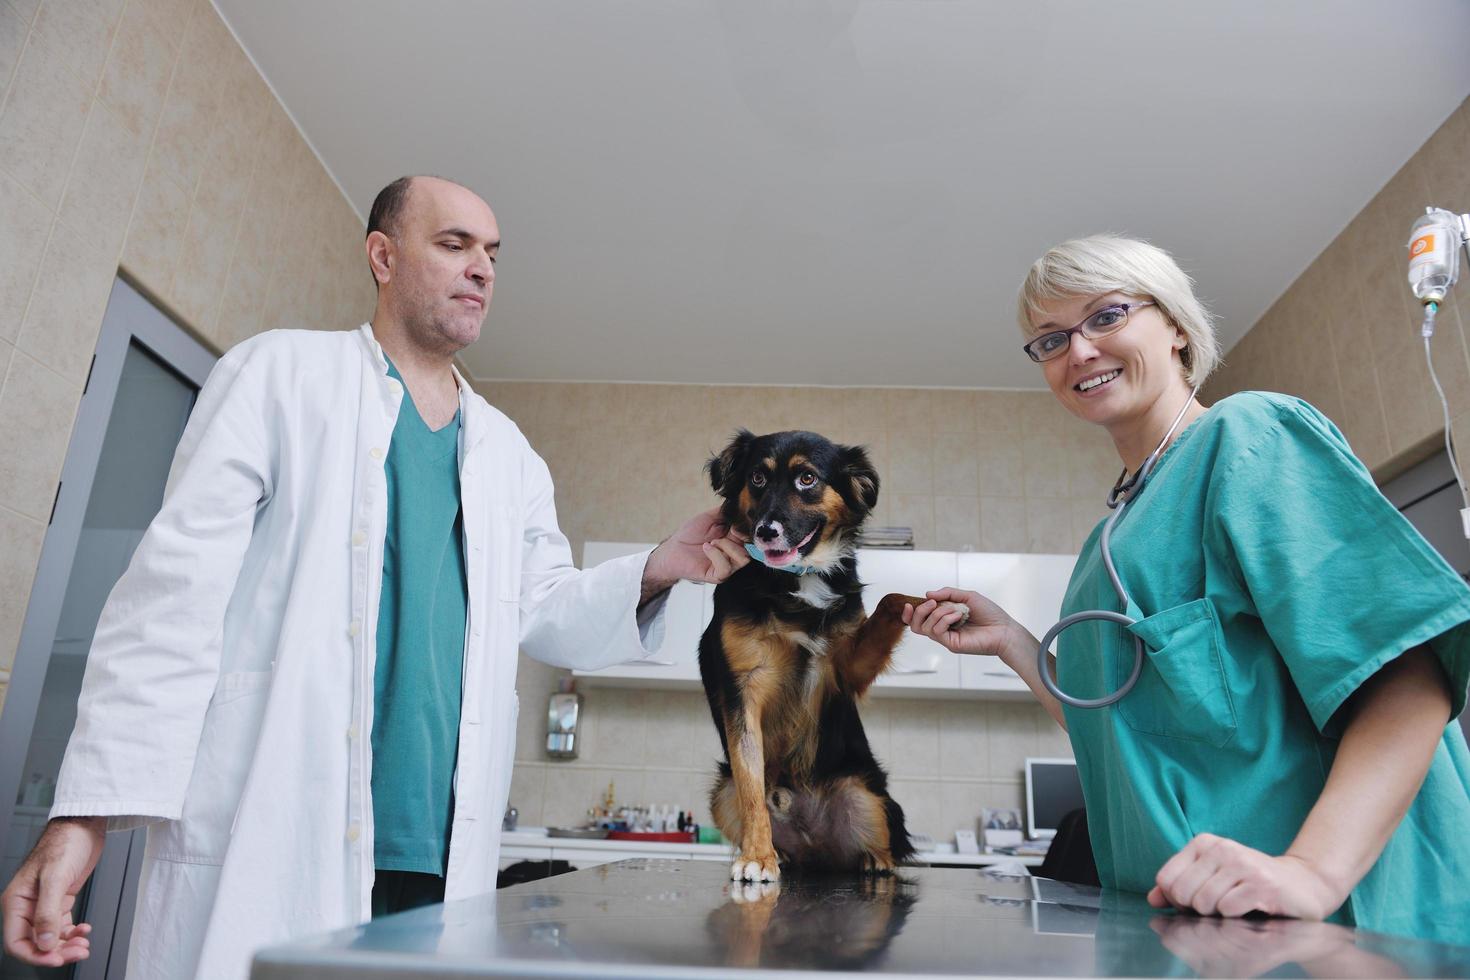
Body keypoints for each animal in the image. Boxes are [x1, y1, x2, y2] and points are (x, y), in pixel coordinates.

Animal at [705, 429, 970, 881]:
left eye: (807, 478)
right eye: (757, 478)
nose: (765, 532)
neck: (796, 581)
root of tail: (815, 848)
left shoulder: (847, 669)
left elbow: (890, 599)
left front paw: (941, 607)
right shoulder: (743, 688)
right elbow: (752, 788)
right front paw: (757, 855)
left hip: (867, 790)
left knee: (880, 844)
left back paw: (874, 861)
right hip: (722, 792)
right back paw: (781, 854)